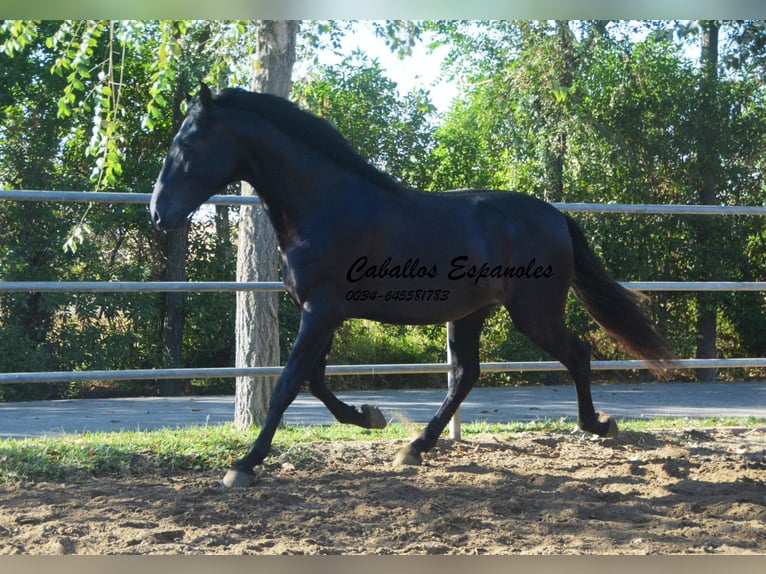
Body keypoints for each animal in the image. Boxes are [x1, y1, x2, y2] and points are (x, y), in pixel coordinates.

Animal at [148, 86, 672, 490]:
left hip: (534, 314)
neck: (323, 205)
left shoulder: (321, 312)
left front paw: (244, 465)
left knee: (576, 354)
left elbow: (287, 386)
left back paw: (598, 424)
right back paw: (416, 446)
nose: (158, 212)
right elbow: (315, 381)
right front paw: (370, 416)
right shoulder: (321, 314)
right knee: (466, 375)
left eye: (189, 142)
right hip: (471, 313)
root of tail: (557, 217)